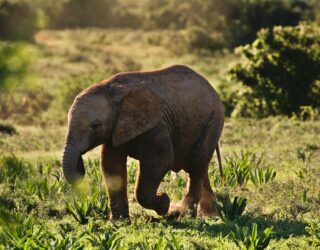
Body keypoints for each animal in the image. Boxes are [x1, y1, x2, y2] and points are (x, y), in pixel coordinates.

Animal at [61, 65, 224, 221]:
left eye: (95, 126)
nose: (80, 168)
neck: (111, 87)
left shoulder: (156, 124)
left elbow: (161, 161)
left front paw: (164, 203)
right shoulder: (116, 127)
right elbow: (111, 165)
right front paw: (119, 222)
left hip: (213, 121)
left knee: (196, 164)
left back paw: (186, 215)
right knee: (198, 168)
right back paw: (210, 215)